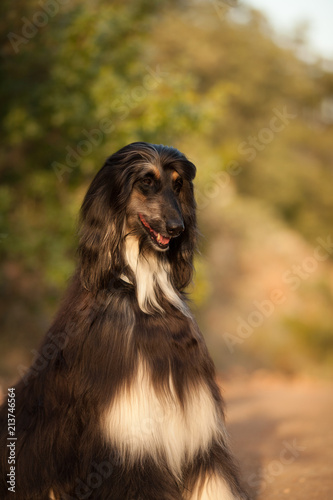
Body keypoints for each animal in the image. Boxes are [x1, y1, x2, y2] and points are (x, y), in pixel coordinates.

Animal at [0, 143, 248, 498]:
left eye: (178, 184)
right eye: (146, 181)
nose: (177, 228)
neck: (146, 293)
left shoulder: (200, 436)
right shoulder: (128, 444)